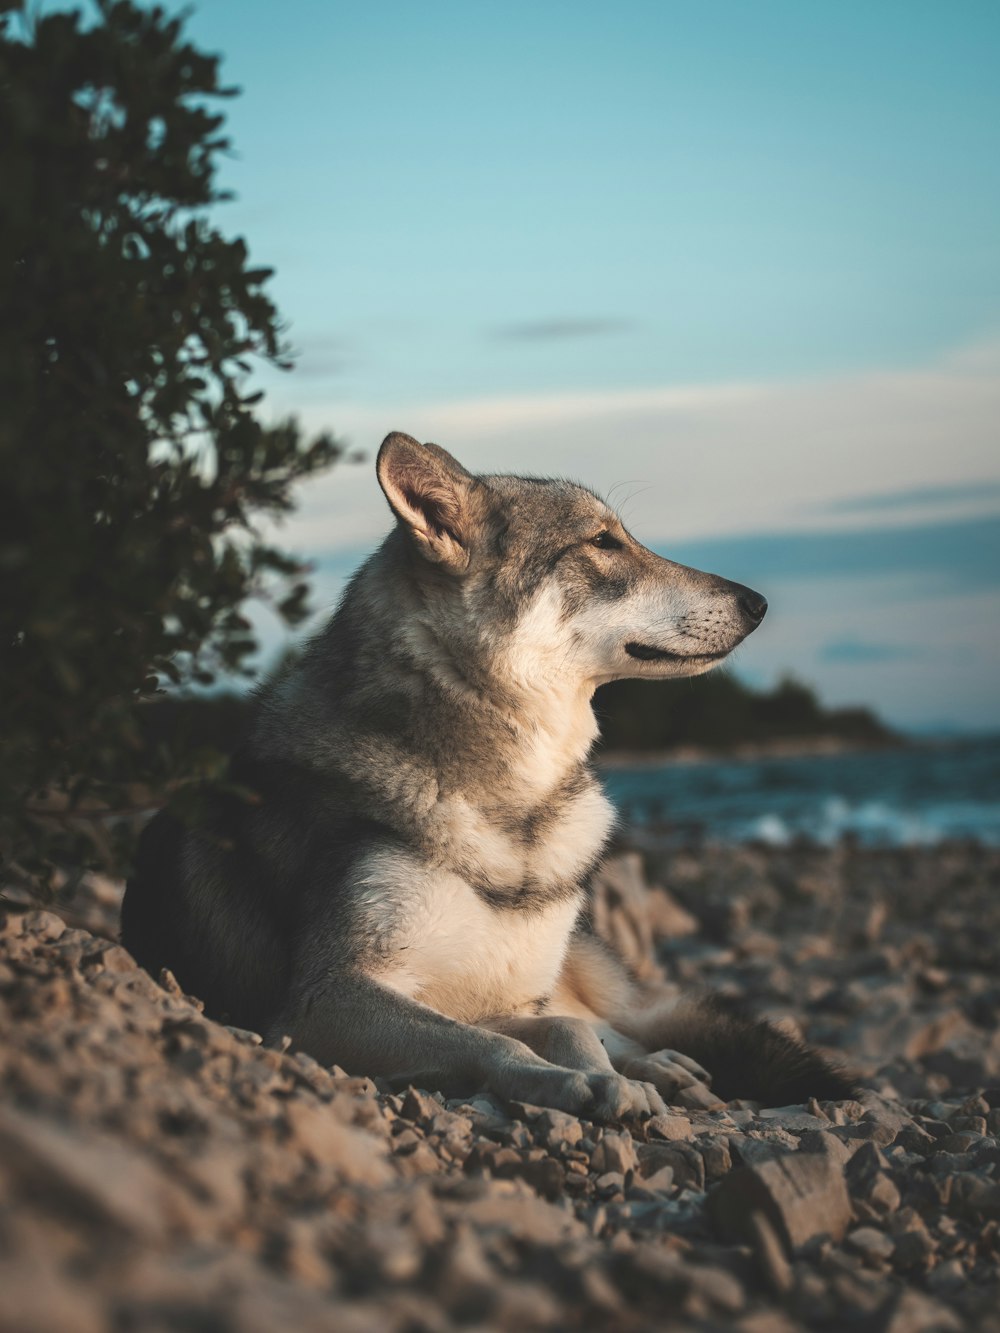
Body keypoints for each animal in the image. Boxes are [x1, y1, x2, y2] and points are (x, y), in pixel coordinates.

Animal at [121, 429, 848, 1114]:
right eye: (603, 542)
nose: (757, 602)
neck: (513, 810)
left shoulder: (511, 999)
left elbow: (568, 1030)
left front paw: (612, 1079)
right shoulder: (325, 1002)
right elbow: (499, 1043)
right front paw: (576, 1085)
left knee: (614, 1025)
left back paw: (666, 1068)